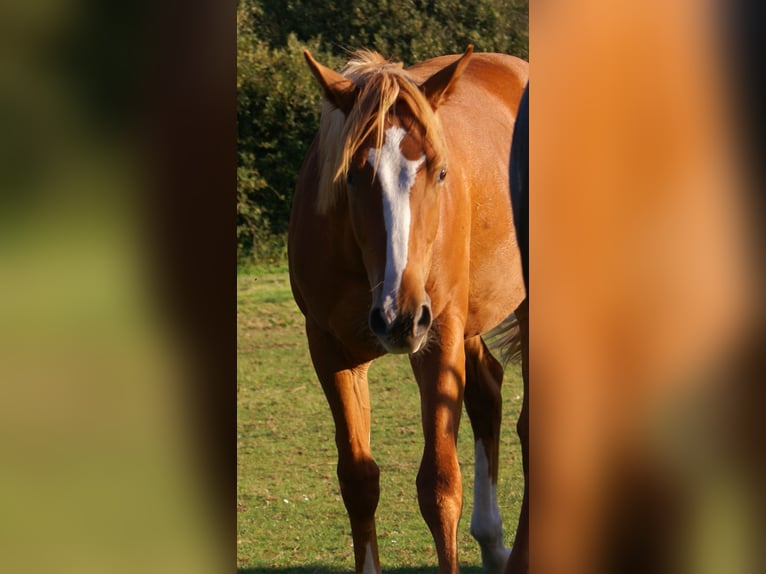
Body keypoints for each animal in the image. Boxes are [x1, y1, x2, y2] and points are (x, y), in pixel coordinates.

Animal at [288, 46, 529, 574]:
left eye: (439, 172)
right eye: (352, 175)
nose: (398, 316)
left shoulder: (436, 338)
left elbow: (439, 486)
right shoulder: (330, 351)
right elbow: (358, 480)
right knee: (488, 392)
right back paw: (493, 542)